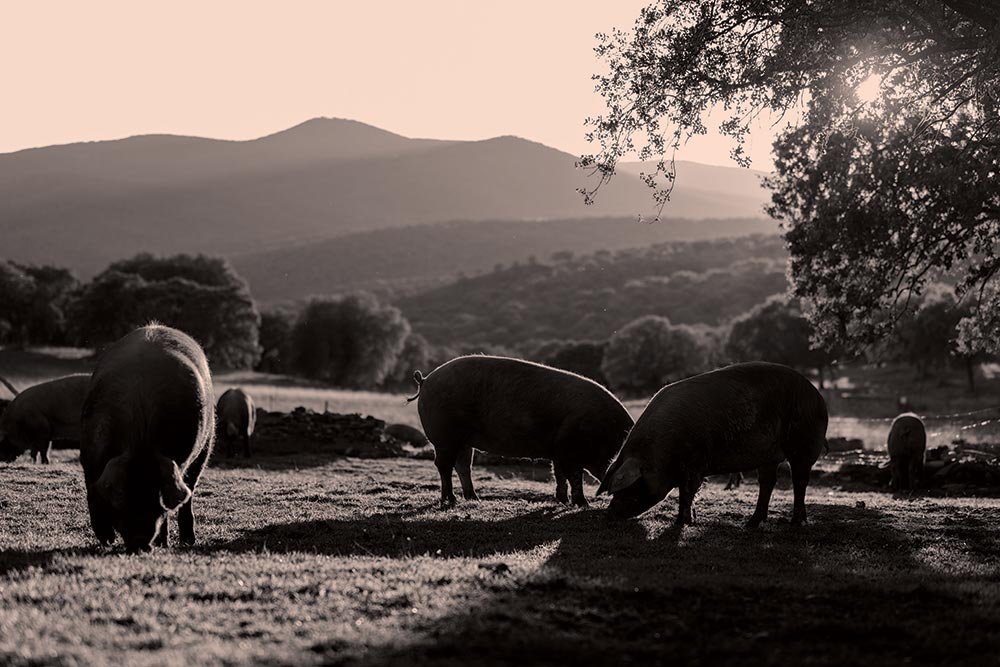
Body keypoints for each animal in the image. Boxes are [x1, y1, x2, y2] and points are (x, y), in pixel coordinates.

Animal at [80, 324, 215, 552]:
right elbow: (93, 492)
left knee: (189, 490)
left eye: (156, 497)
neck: (140, 440)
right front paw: (106, 539)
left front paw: (161, 542)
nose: (140, 544)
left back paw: (187, 541)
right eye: (123, 496)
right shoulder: (89, 456)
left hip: (206, 446)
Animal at [408, 358, 632, 508]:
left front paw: (562, 500)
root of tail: (425, 380)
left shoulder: (558, 451)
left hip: (463, 440)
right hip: (444, 437)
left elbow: (559, 474)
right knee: (443, 465)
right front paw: (583, 504)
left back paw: (474, 498)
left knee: (463, 465)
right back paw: (450, 500)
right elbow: (575, 476)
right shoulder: (569, 450)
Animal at [596, 362, 824, 528]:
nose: (609, 513)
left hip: (803, 445)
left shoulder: (694, 464)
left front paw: (681, 523)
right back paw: (752, 524)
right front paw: (690, 520)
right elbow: (685, 494)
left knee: (799, 481)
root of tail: (817, 396)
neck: (659, 453)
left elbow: (687, 493)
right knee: (768, 482)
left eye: (630, 486)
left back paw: (795, 523)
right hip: (769, 456)